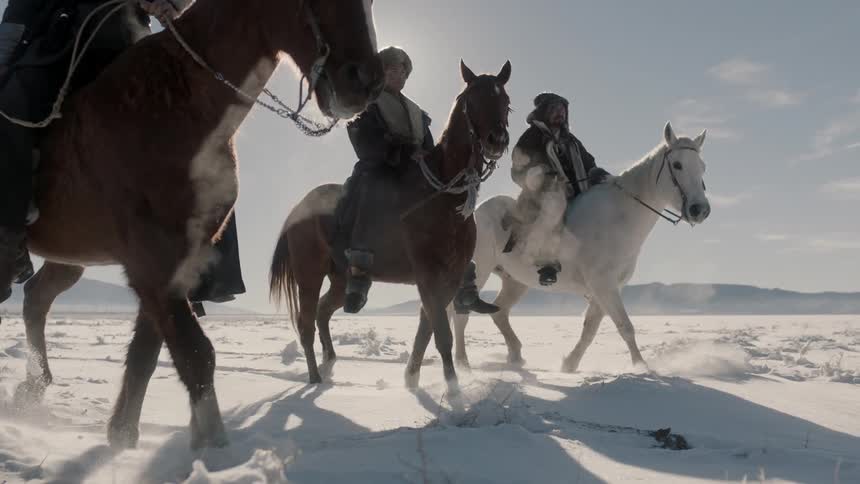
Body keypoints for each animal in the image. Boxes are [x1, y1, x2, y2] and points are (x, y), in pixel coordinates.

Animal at [2, 0, 383, 449]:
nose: (365, 82)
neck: (179, 105)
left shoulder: (172, 265)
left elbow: (147, 355)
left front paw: (124, 436)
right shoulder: (153, 265)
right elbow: (195, 354)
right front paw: (214, 448)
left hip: (70, 260)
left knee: (35, 298)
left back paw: (35, 385)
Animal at [270, 60, 512, 391]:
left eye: (506, 103)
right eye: (472, 100)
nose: (497, 140)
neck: (442, 195)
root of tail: (297, 211)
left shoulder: (449, 276)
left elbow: (427, 328)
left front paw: (412, 377)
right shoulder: (428, 274)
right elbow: (441, 333)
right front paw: (453, 390)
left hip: (339, 278)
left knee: (322, 313)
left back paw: (329, 363)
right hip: (309, 274)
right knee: (306, 322)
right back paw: (315, 378)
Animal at [451, 122, 711, 372]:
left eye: (702, 166)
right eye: (677, 164)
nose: (700, 209)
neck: (619, 216)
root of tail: (474, 213)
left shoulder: (604, 289)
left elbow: (590, 329)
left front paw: (569, 364)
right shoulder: (603, 285)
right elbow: (625, 326)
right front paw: (641, 367)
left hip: (515, 281)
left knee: (500, 311)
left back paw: (515, 355)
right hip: (480, 270)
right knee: (460, 314)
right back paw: (463, 364)